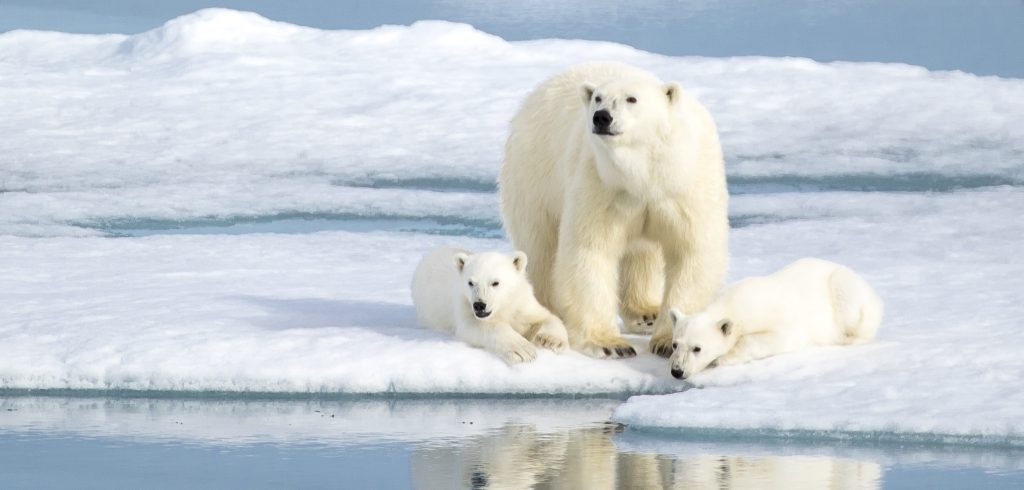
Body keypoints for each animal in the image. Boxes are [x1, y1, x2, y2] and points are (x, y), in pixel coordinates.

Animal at [410, 246, 569, 364]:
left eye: (495, 282)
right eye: (470, 282)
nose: (479, 305)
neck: (502, 307)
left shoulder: (521, 303)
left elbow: (546, 316)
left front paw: (551, 341)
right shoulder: (464, 306)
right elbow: (477, 326)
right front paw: (522, 350)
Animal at [499, 61, 728, 359]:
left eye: (632, 99)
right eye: (598, 98)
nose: (602, 117)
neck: (645, 173)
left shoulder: (685, 188)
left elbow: (691, 252)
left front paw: (668, 341)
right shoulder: (601, 184)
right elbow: (590, 250)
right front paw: (609, 344)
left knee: (642, 254)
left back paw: (646, 313)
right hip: (534, 174)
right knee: (541, 247)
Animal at [668, 258, 884, 380]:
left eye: (697, 348)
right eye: (675, 344)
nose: (677, 371)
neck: (734, 302)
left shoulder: (778, 319)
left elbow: (779, 338)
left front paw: (722, 359)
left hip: (844, 288)